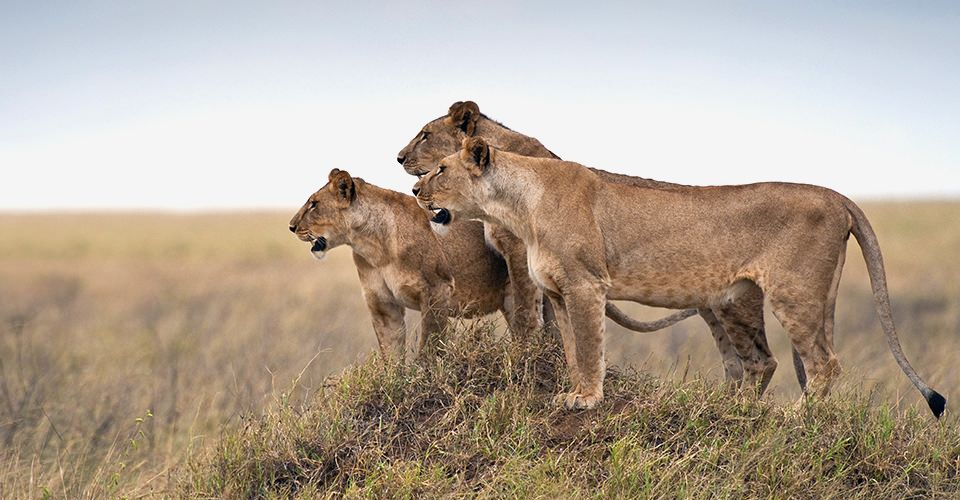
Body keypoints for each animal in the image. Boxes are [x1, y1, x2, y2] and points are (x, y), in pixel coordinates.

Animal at [288, 169, 695, 358]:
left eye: (314, 204)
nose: (291, 226)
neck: (373, 244)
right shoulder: (382, 304)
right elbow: (391, 350)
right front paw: (395, 384)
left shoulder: (437, 291)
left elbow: (428, 345)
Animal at [398, 101, 770, 388]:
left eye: (425, 135)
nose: (399, 158)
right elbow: (551, 318)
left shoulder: (519, 252)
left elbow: (526, 311)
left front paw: (525, 355)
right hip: (712, 304)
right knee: (735, 362)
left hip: (732, 303)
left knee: (760, 360)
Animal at [412, 138, 946, 418]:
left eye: (440, 169)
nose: (416, 190)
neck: (517, 205)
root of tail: (836, 195)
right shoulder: (559, 293)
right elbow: (571, 349)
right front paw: (574, 392)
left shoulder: (586, 284)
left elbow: (590, 346)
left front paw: (588, 400)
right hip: (749, 299)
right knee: (773, 361)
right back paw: (748, 412)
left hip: (794, 293)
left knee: (825, 363)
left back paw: (796, 419)